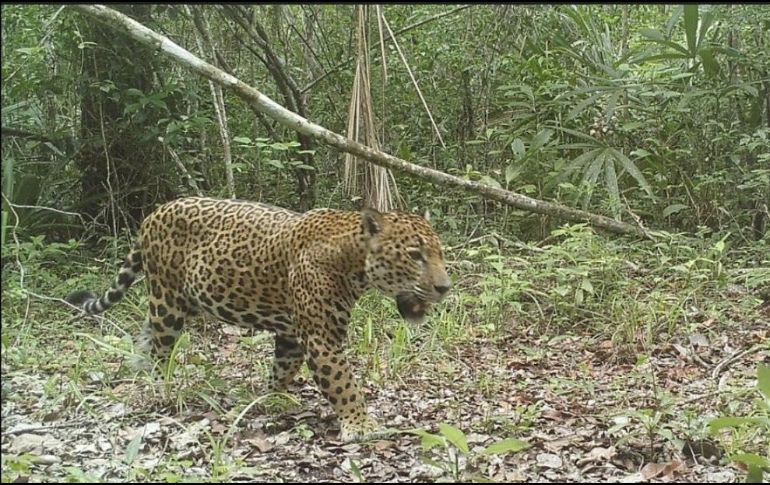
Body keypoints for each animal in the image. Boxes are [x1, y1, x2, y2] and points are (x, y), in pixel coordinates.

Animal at [66, 196, 451, 442]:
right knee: (162, 348)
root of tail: (154, 213)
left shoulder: (293, 335)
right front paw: (360, 425)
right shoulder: (321, 338)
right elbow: (344, 384)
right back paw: (162, 386)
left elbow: (282, 370)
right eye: (415, 256)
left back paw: (142, 371)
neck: (352, 259)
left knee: (146, 335)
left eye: (439, 254)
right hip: (168, 300)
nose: (445, 287)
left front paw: (273, 400)